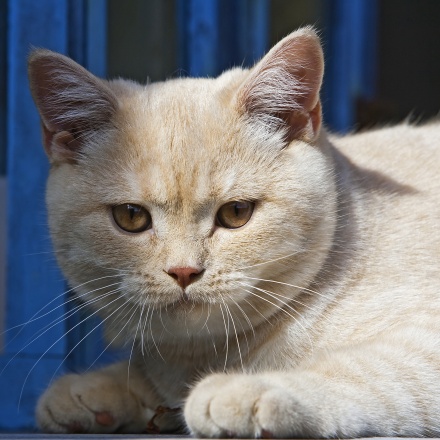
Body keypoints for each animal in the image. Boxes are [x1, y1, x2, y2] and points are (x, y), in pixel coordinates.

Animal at [28, 27, 440, 436]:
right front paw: (94, 388)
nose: (183, 271)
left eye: (236, 213)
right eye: (131, 217)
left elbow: (359, 371)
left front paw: (248, 388)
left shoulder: (423, 341)